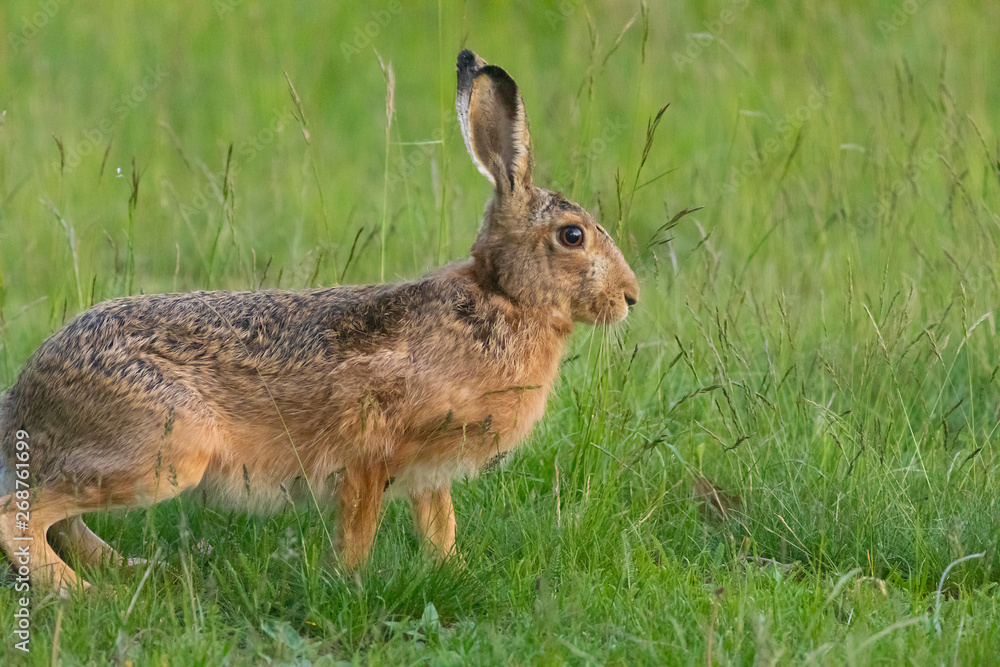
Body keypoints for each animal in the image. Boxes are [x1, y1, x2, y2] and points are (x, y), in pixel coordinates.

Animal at [0, 48, 638, 593]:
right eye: (573, 236)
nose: (631, 297)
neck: (503, 298)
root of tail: (28, 395)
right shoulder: (370, 454)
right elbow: (358, 531)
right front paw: (349, 583)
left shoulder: (430, 471)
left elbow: (440, 527)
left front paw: (453, 571)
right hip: (164, 455)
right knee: (20, 515)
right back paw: (81, 595)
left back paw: (133, 571)